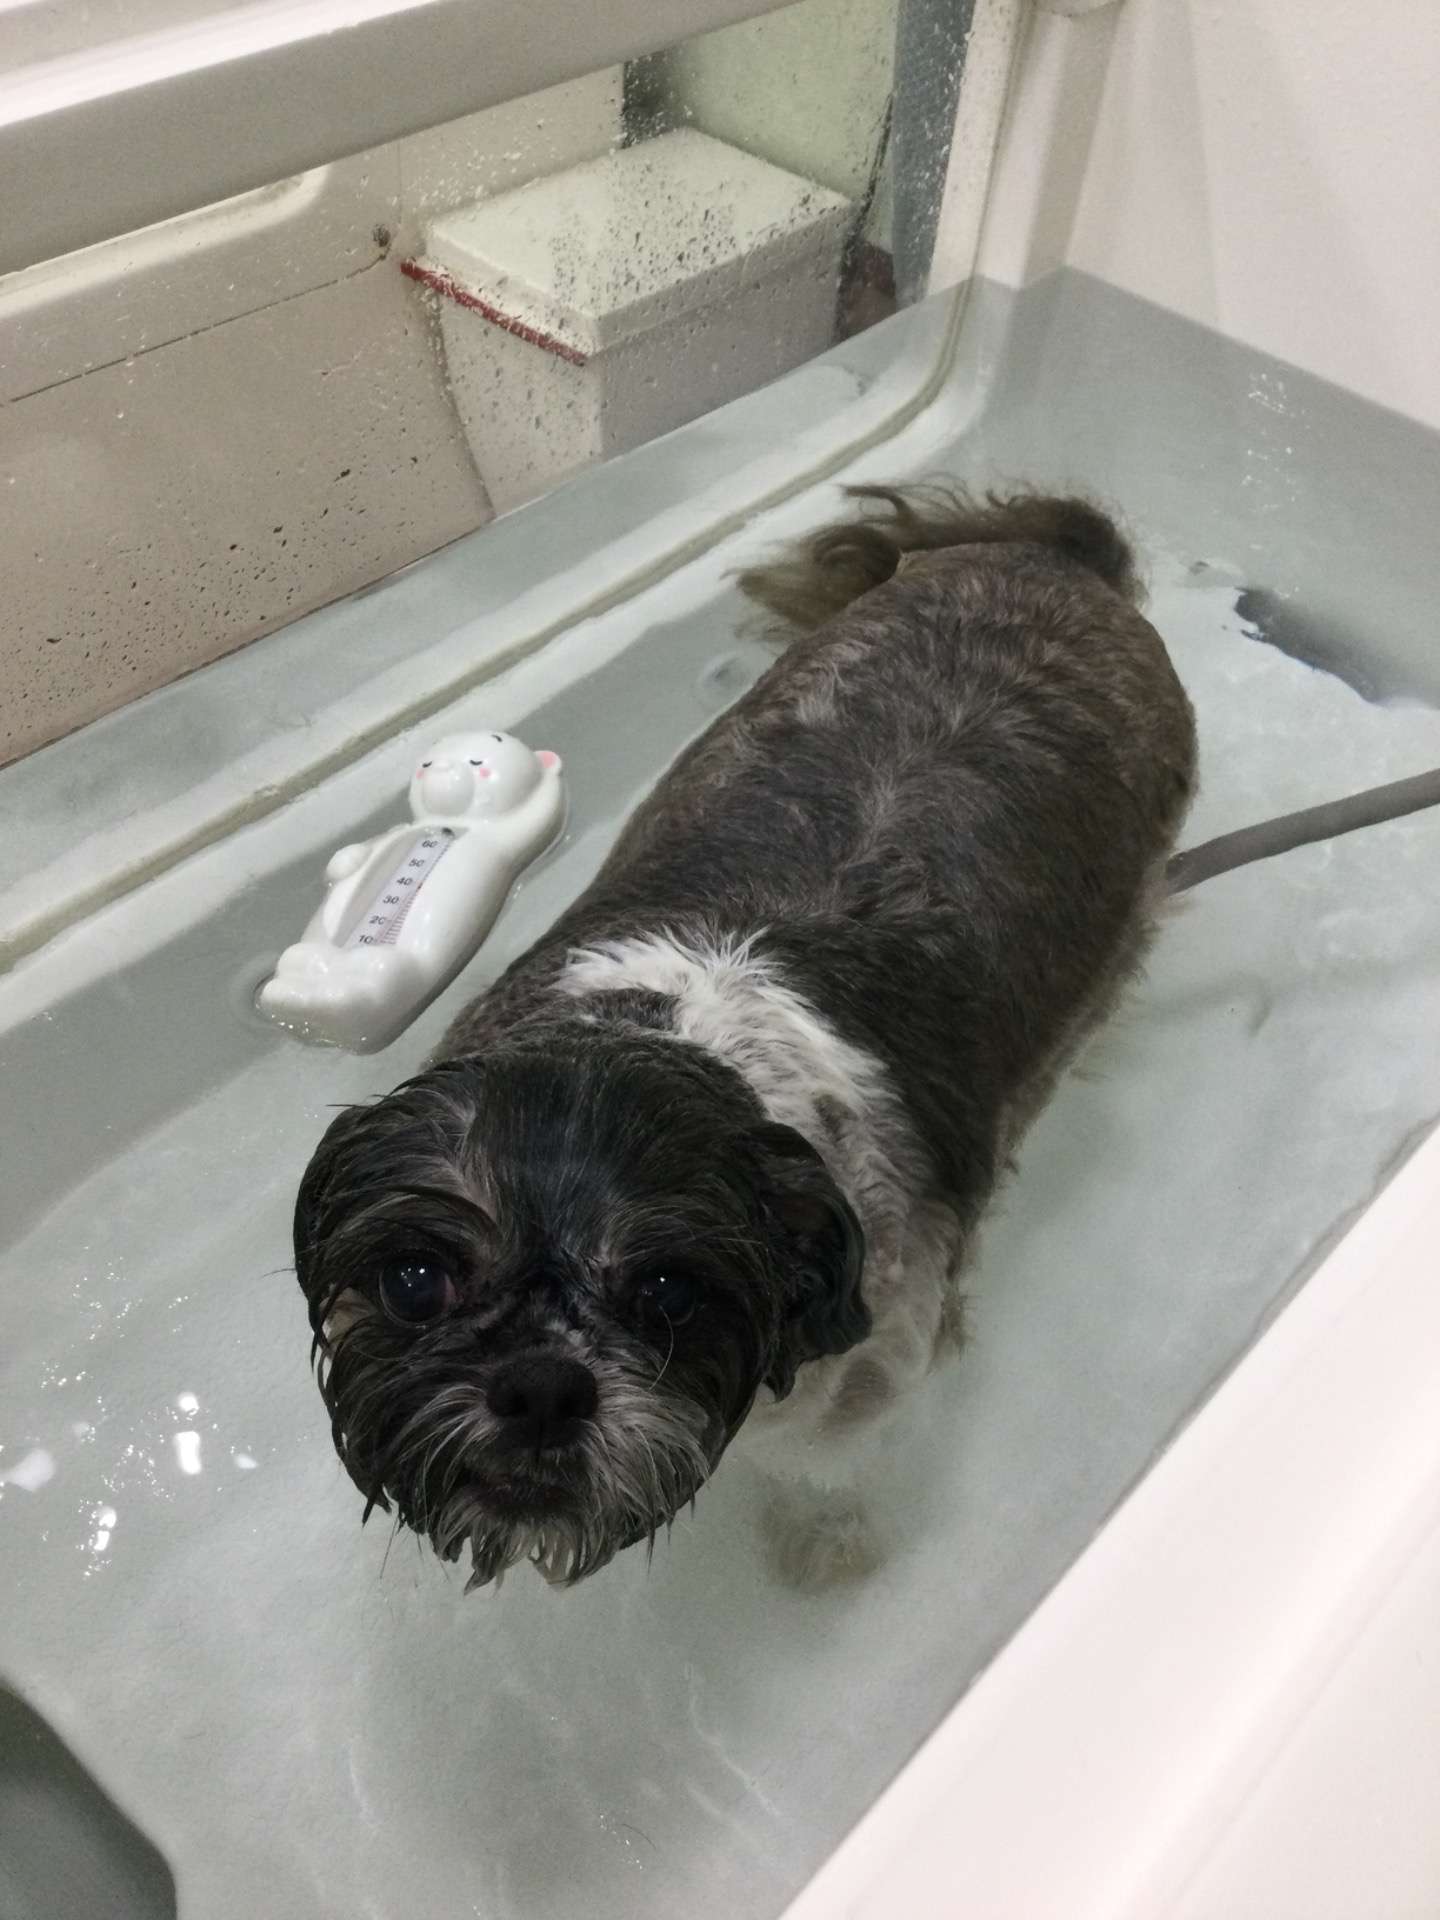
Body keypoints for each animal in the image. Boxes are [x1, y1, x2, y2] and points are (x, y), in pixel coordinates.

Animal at [293, 486, 1197, 1590]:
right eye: (415, 1281)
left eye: (672, 1292)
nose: (539, 1384)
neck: (686, 1027)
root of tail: (1057, 559)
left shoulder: (875, 1368)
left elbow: (829, 1470)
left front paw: (826, 1540)